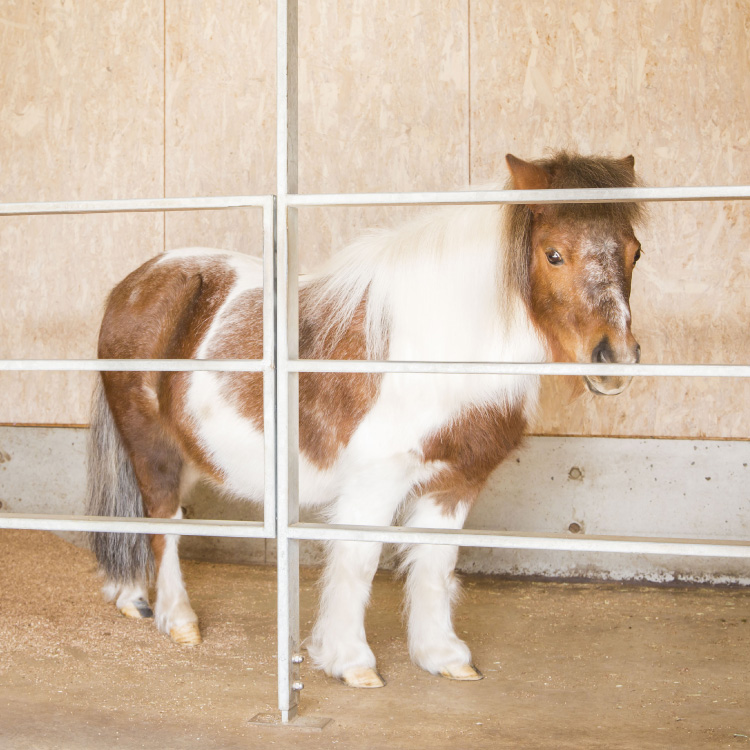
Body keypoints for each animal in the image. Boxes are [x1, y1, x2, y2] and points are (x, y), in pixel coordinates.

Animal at [86, 156, 640, 692]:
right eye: (553, 254)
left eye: (635, 252)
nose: (615, 359)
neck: (439, 347)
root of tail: (136, 282)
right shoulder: (376, 481)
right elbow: (359, 563)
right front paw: (349, 661)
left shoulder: (456, 483)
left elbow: (436, 564)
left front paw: (443, 657)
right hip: (152, 447)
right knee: (163, 519)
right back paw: (178, 620)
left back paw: (133, 598)